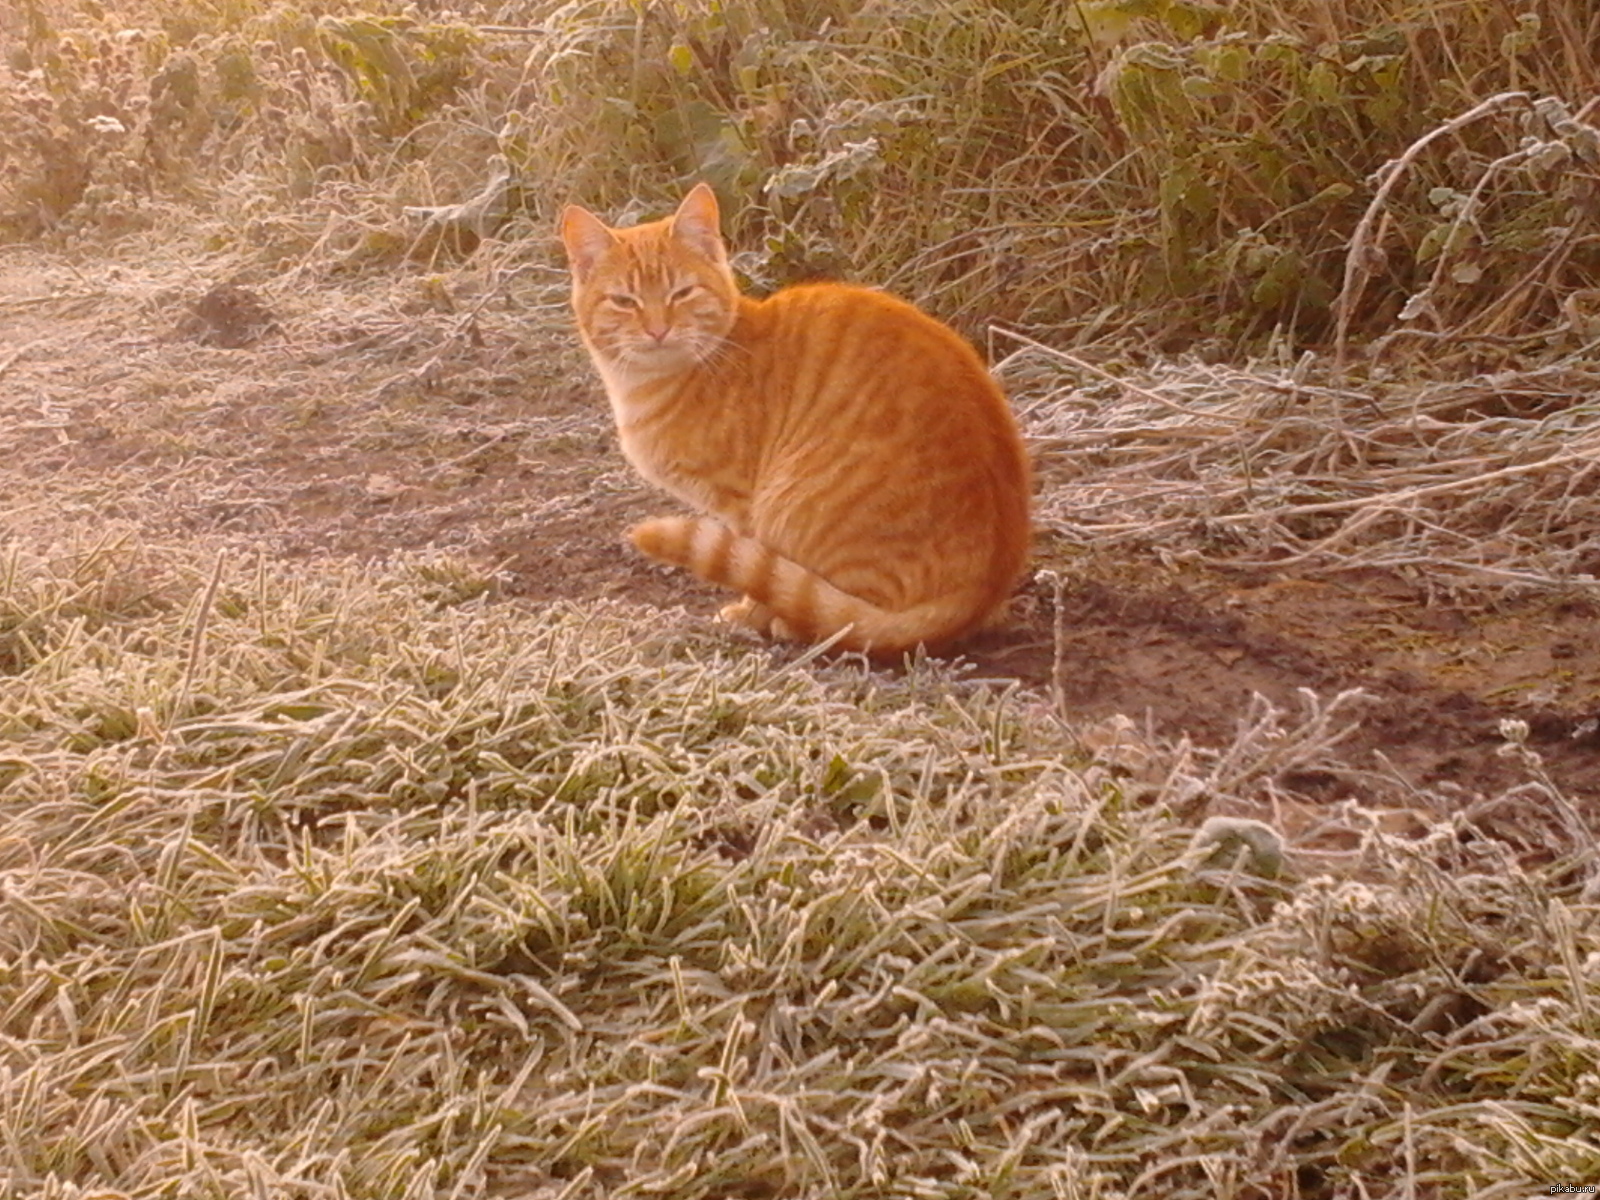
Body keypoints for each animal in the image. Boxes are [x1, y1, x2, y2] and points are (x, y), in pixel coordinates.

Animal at [563, 184, 1030, 659]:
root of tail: (979, 592)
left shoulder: (743, 505)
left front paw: (749, 614)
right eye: (625, 301)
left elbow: (751, 565)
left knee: (844, 618)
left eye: (682, 293)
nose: (658, 330)